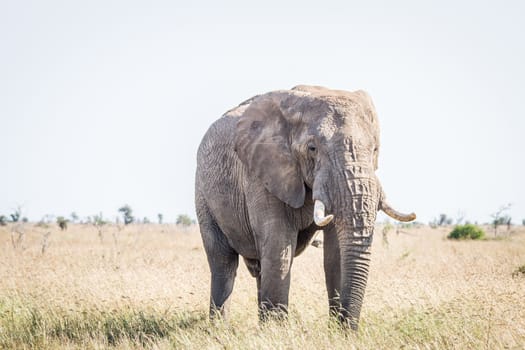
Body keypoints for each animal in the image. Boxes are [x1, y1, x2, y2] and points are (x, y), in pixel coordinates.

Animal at [194, 85, 416, 330]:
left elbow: (335, 255)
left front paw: (335, 332)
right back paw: (218, 329)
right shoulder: (261, 173)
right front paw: (277, 333)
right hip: (203, 193)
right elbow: (279, 248)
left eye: (375, 149)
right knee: (223, 262)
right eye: (312, 148)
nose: (349, 330)